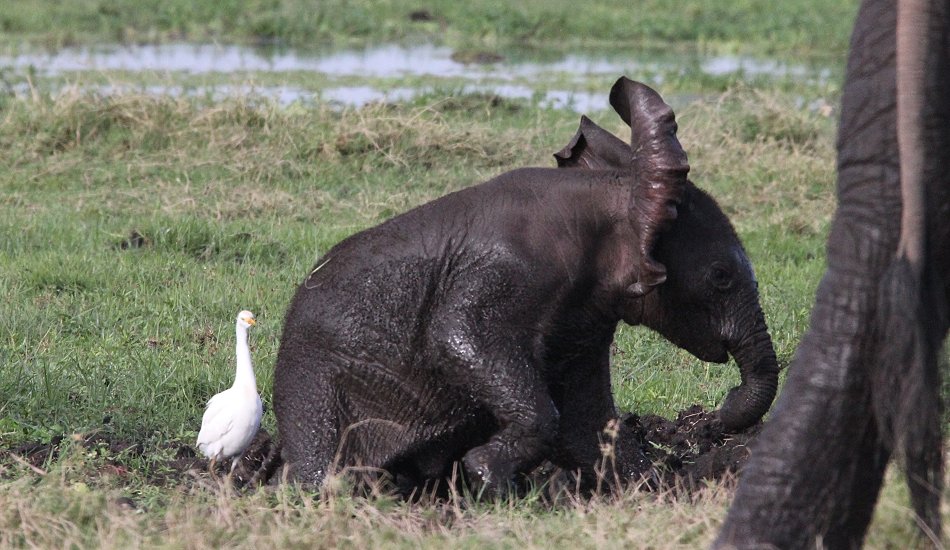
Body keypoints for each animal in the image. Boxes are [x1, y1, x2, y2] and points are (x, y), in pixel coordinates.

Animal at [274, 77, 780, 496]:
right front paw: (487, 477)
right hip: (318, 395)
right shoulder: (505, 271)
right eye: (721, 278)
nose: (716, 415)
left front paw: (655, 491)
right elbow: (456, 337)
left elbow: (585, 423)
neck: (610, 197)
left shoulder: (583, 320)